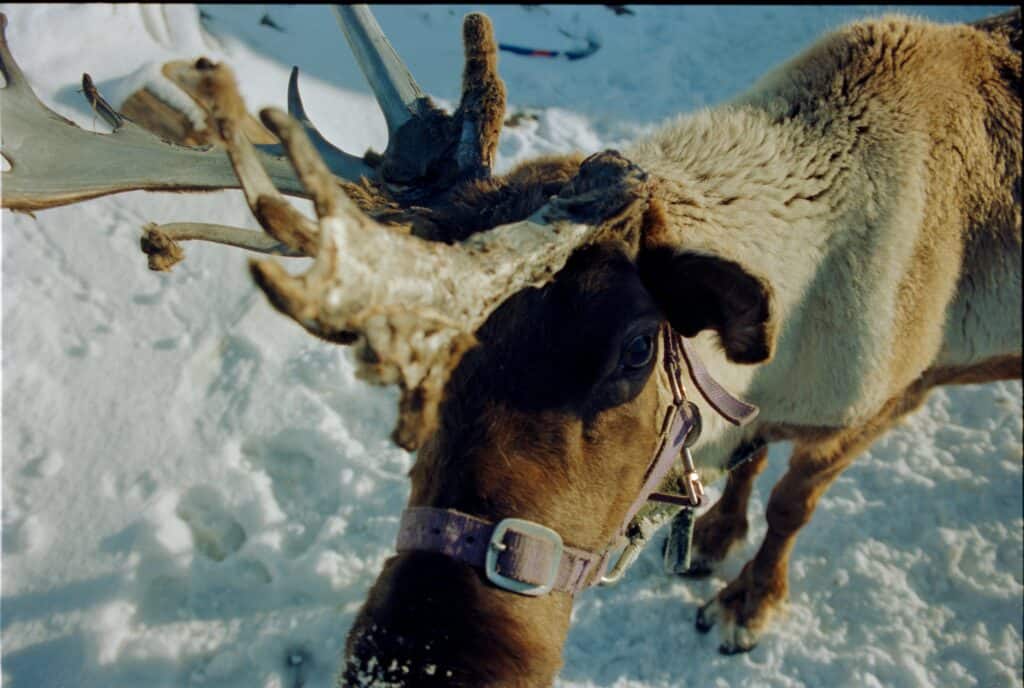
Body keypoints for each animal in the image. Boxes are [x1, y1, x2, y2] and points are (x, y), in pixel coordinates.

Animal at [1, 5, 1020, 687]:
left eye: (636, 350)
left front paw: (746, 602)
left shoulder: (883, 398)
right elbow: (748, 468)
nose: (418, 661)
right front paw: (712, 537)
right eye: (423, 373)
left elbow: (791, 504)